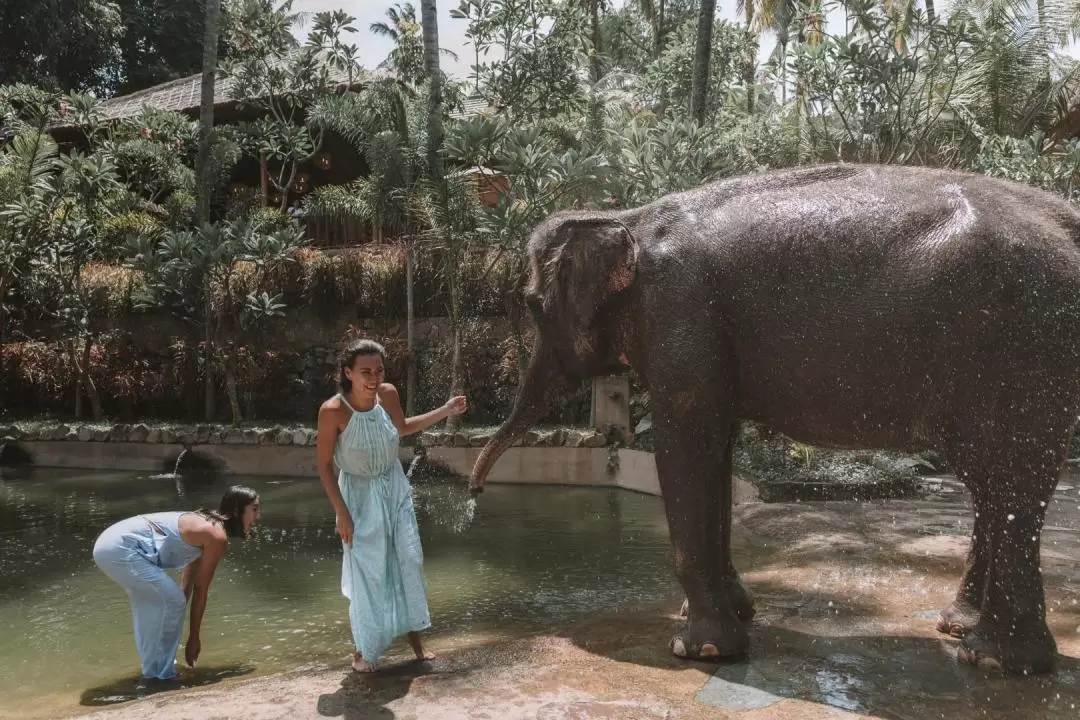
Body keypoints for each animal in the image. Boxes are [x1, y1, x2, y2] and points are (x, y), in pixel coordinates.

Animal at [466, 161, 1080, 677]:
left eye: (533, 305)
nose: (473, 496)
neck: (628, 218)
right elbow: (716, 448)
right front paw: (735, 613)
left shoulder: (681, 314)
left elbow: (686, 444)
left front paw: (700, 649)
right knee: (992, 482)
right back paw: (961, 629)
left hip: (1024, 346)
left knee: (1010, 480)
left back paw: (996, 659)